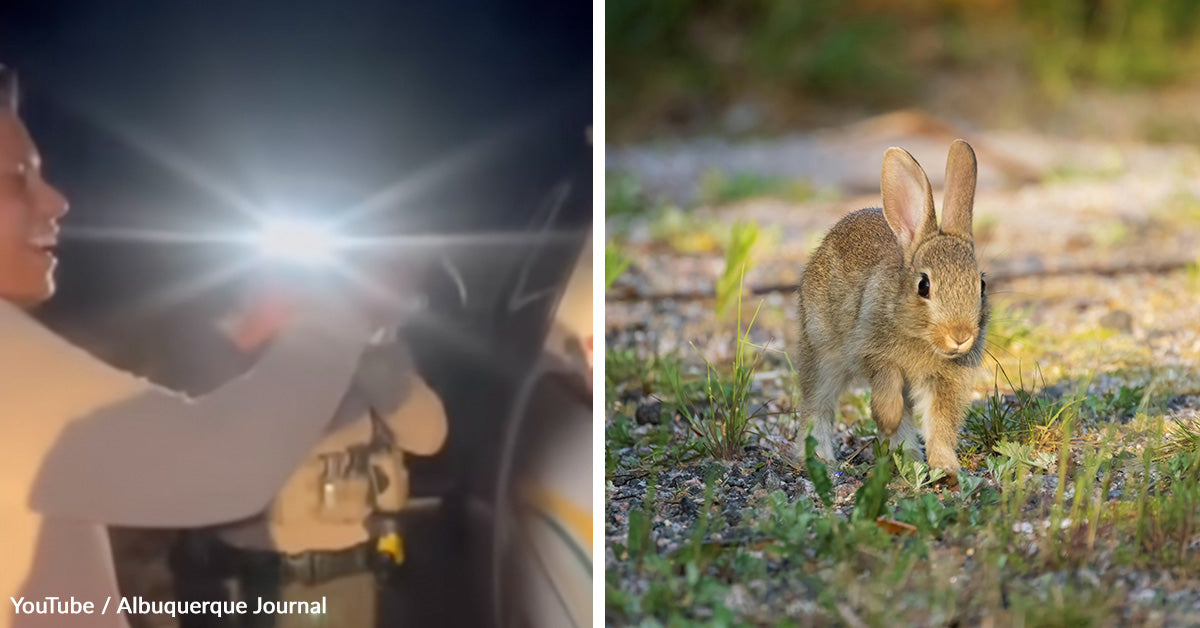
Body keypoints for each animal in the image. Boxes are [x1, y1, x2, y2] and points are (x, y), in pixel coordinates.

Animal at [793, 139, 988, 478]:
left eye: (982, 285)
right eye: (924, 286)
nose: (961, 336)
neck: (922, 338)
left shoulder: (946, 381)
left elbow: (940, 424)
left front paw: (947, 468)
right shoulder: (871, 352)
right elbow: (888, 385)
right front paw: (886, 419)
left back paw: (908, 459)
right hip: (820, 351)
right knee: (817, 404)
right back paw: (821, 459)